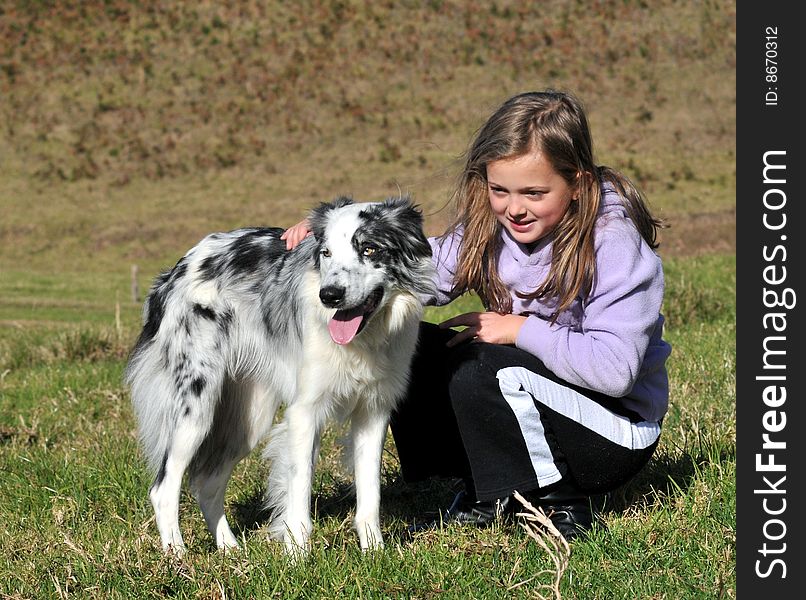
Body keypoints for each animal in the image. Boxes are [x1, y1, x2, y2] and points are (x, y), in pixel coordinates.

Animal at [125, 197, 436, 552]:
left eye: (369, 249)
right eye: (326, 252)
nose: (329, 295)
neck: (364, 340)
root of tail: (174, 271)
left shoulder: (374, 412)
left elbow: (370, 495)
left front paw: (374, 552)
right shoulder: (304, 412)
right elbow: (299, 493)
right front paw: (299, 556)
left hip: (249, 418)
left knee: (207, 483)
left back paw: (230, 549)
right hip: (196, 410)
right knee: (163, 488)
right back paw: (177, 555)